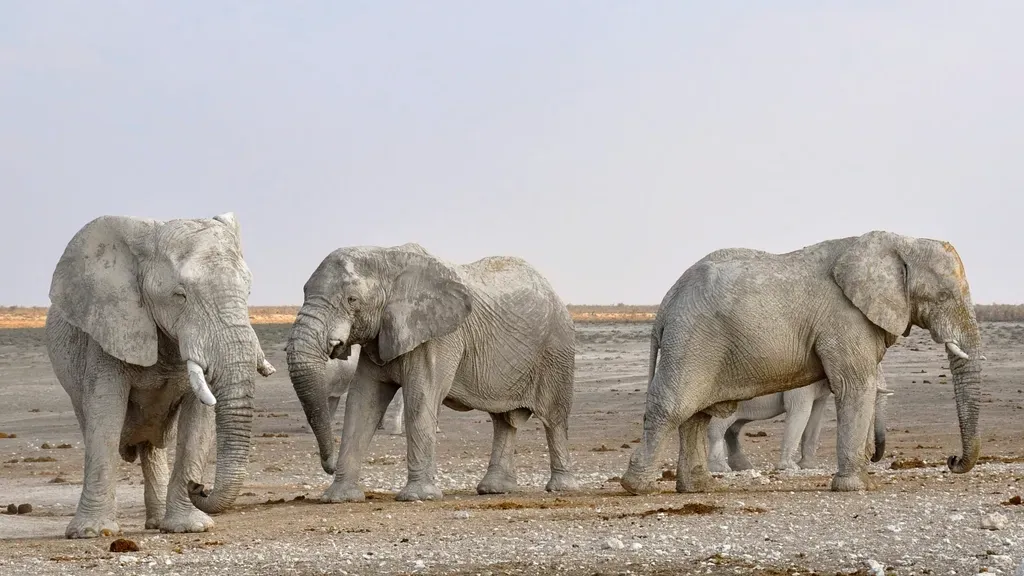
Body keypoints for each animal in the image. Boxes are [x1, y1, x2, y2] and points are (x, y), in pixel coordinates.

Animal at [45, 212, 275, 538]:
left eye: (248, 293)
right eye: (180, 296)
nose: (200, 486)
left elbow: (198, 422)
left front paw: (190, 527)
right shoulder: (108, 329)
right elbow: (105, 416)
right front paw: (91, 533)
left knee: (151, 446)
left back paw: (157, 523)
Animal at [286, 243, 579, 502]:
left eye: (352, 300)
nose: (329, 465)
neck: (386, 257)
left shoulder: (440, 336)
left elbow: (421, 396)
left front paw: (418, 497)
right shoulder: (380, 337)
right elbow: (363, 402)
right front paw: (339, 498)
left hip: (557, 349)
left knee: (553, 418)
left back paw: (560, 488)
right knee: (503, 421)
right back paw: (494, 490)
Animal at [706, 369, 893, 473]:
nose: (872, 457)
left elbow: (816, 415)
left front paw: (808, 466)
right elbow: (800, 410)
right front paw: (790, 467)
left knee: (733, 429)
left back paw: (743, 467)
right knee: (718, 428)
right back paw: (721, 469)